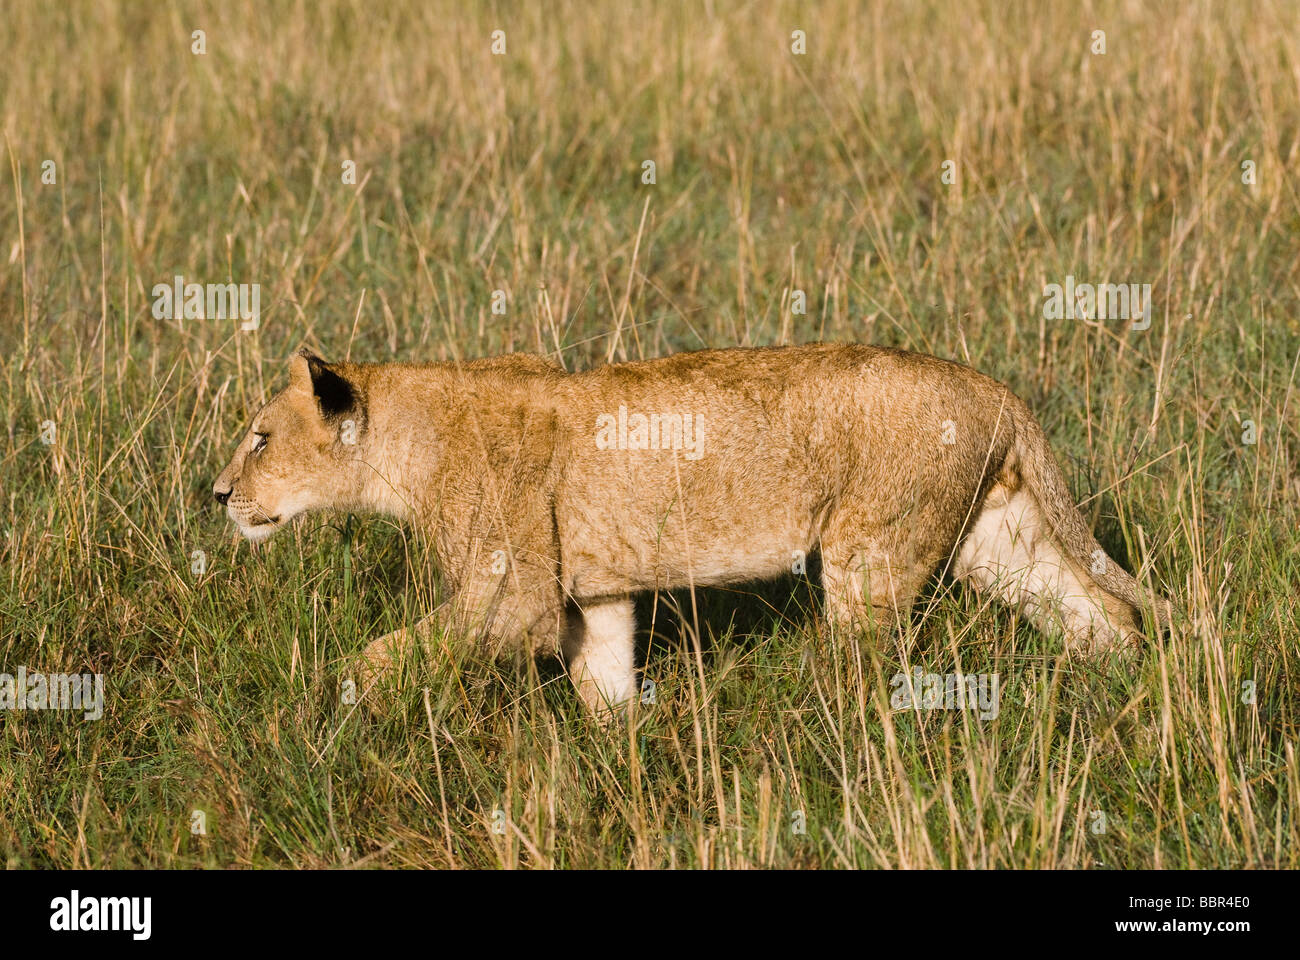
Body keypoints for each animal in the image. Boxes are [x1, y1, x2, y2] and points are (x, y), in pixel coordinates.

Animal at [213, 344, 1168, 718]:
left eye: (260, 437)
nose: (216, 494)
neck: (405, 445)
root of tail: (990, 386)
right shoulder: (593, 597)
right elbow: (604, 684)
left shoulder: (512, 593)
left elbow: (381, 655)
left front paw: (341, 703)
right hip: (995, 540)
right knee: (1102, 613)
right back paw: (1128, 695)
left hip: (871, 554)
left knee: (863, 667)